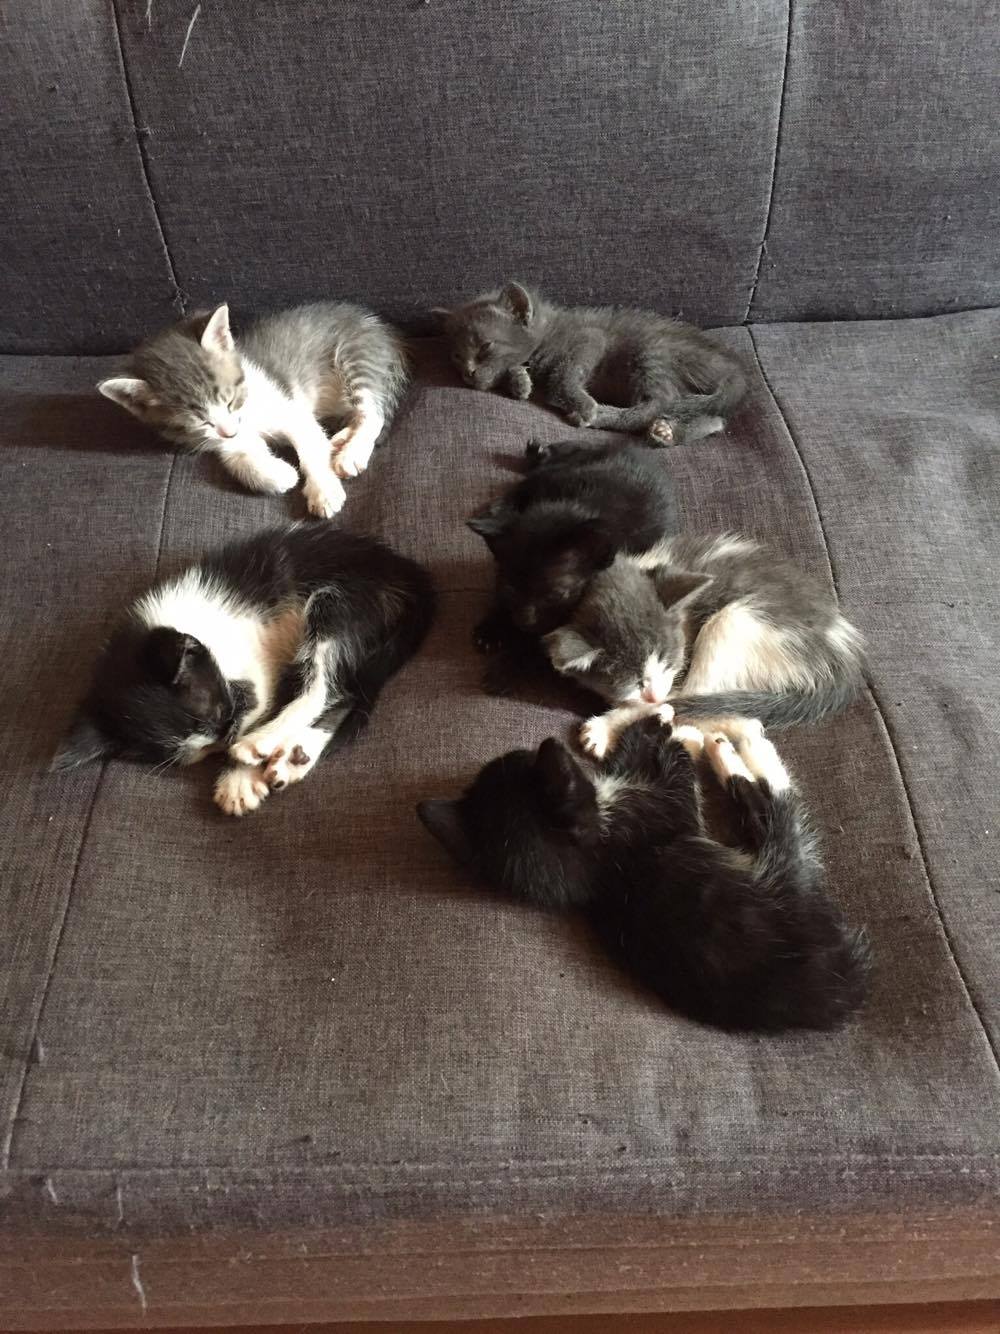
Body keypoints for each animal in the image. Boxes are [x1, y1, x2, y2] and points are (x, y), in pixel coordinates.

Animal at [55, 523, 435, 816]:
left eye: (221, 711)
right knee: (346, 694)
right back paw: (297, 755)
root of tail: (410, 574)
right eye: (202, 751)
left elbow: (265, 699)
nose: (226, 740)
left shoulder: (255, 670)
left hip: (341, 601)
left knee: (322, 689)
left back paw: (262, 743)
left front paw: (238, 776)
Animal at [99, 302, 408, 518]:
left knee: (373, 412)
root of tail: (383, 328)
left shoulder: (291, 411)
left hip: (355, 356)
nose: (229, 430)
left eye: (230, 399)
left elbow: (310, 448)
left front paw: (323, 491)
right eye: (200, 421)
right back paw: (341, 439)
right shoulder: (224, 440)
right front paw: (279, 475)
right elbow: (238, 458)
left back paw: (351, 453)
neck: (247, 410)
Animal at [418, 715, 870, 1031]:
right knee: (774, 808)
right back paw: (737, 747)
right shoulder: (669, 813)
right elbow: (678, 770)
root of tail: (843, 988)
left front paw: (650, 726)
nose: (534, 750)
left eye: (519, 760)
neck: (600, 869)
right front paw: (672, 728)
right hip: (784, 878)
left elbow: (626, 760)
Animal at [436, 282, 747, 446]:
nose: (468, 373)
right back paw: (667, 433)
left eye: (485, 347)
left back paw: (604, 415)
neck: (549, 330)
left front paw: (583, 406)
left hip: (652, 351)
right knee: (714, 419)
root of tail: (737, 369)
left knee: (659, 402)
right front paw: (519, 381)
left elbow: (564, 374)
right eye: (456, 356)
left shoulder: (590, 338)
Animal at [542, 535, 866, 758]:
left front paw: (610, 724)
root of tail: (840, 648)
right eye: (632, 681)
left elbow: (671, 698)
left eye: (667, 662)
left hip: (736, 620)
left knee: (694, 695)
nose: (653, 693)